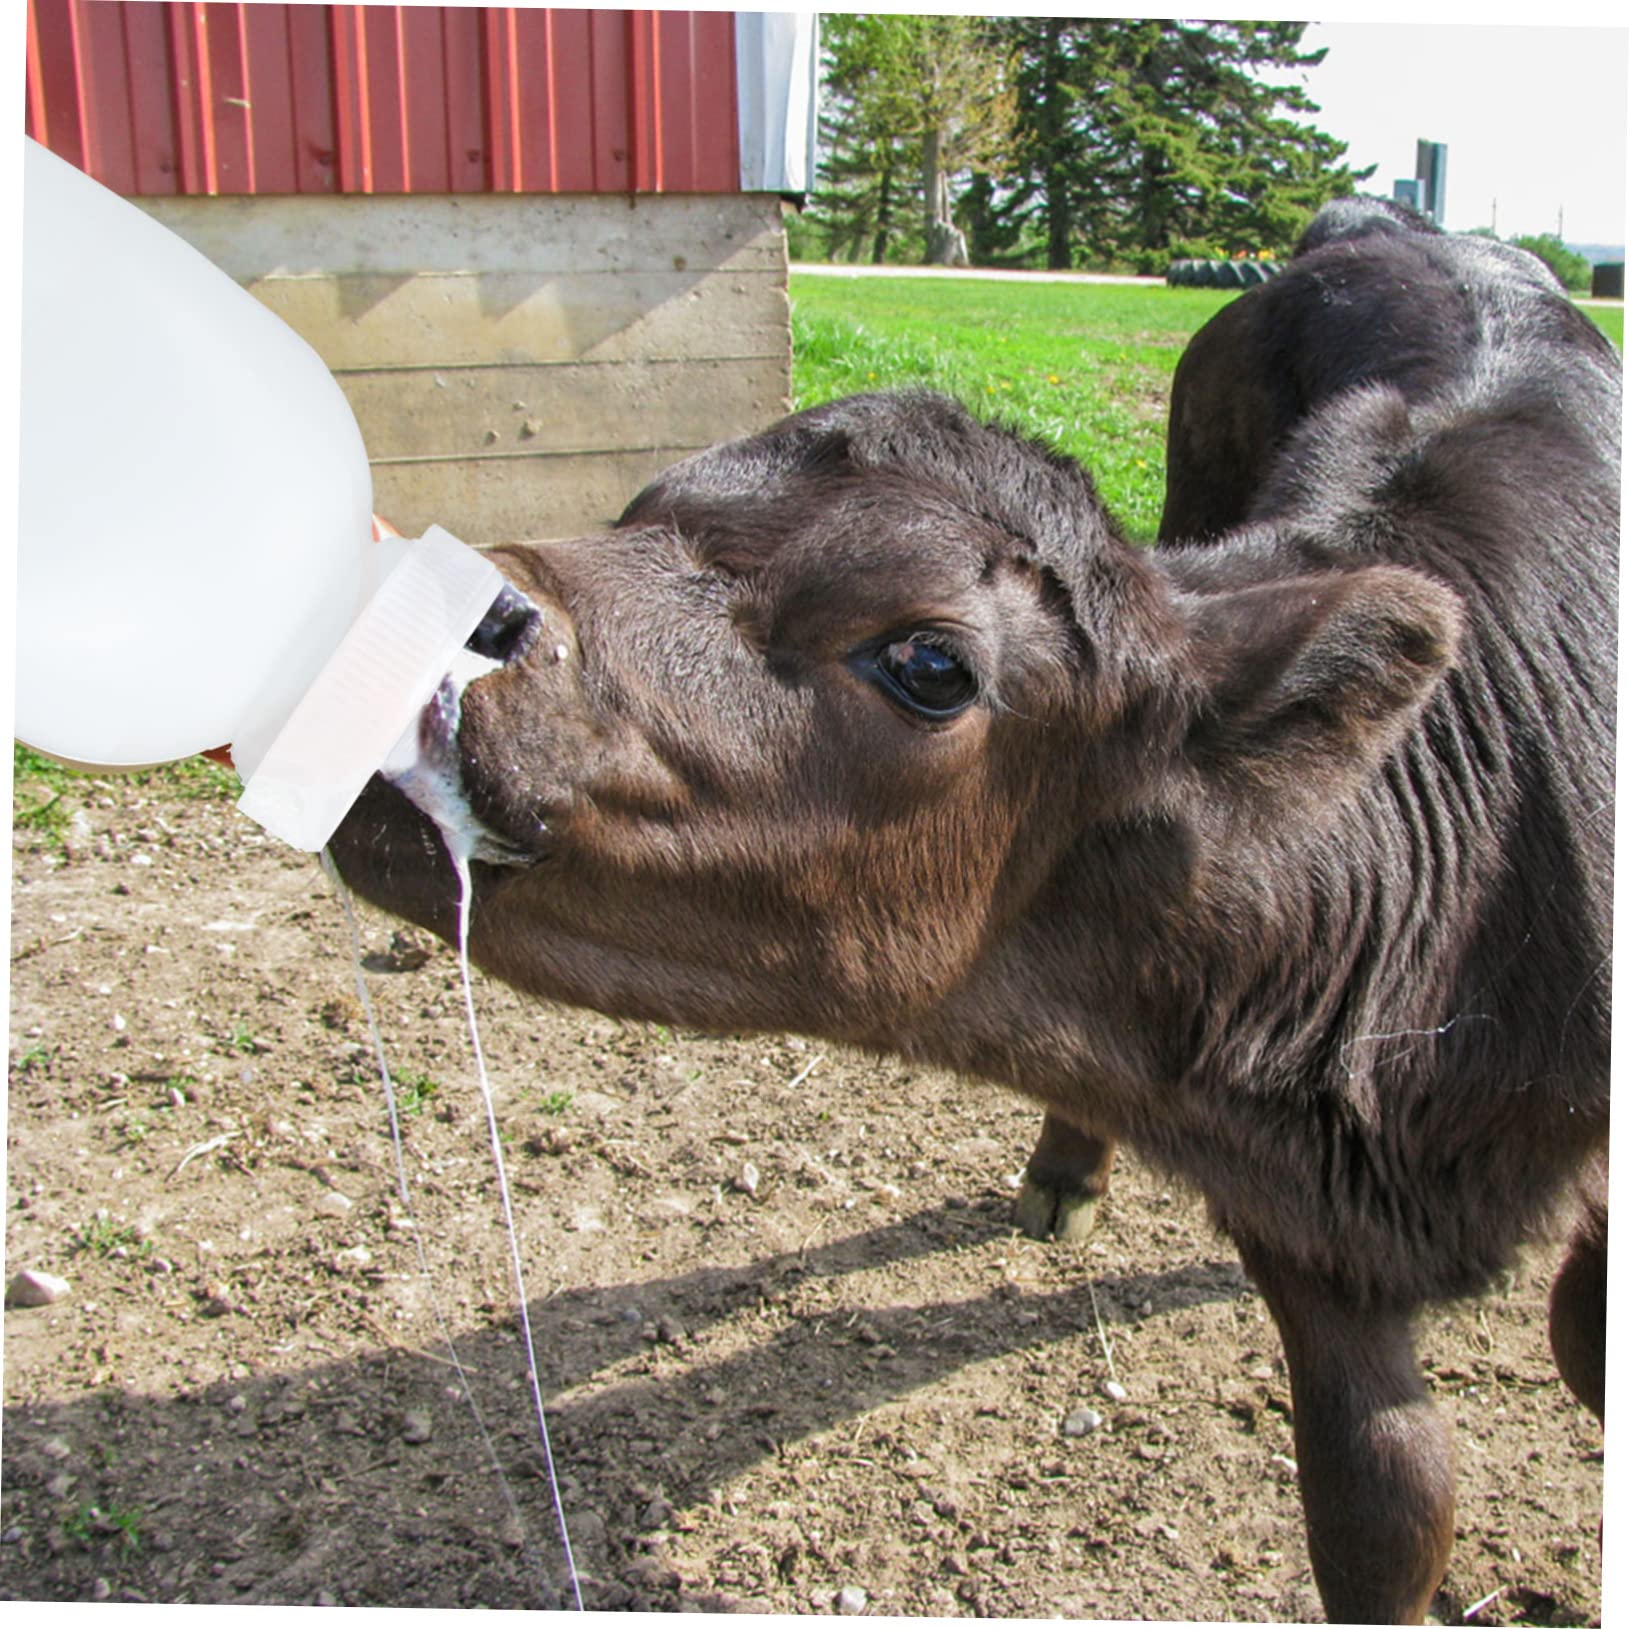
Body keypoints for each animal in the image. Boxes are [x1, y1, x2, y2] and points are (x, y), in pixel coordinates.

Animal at [328, 201, 1616, 1622]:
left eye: (930, 663)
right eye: (635, 508)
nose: (435, 603)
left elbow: (1568, 1350)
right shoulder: (1294, 1190)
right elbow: (1385, 1499)